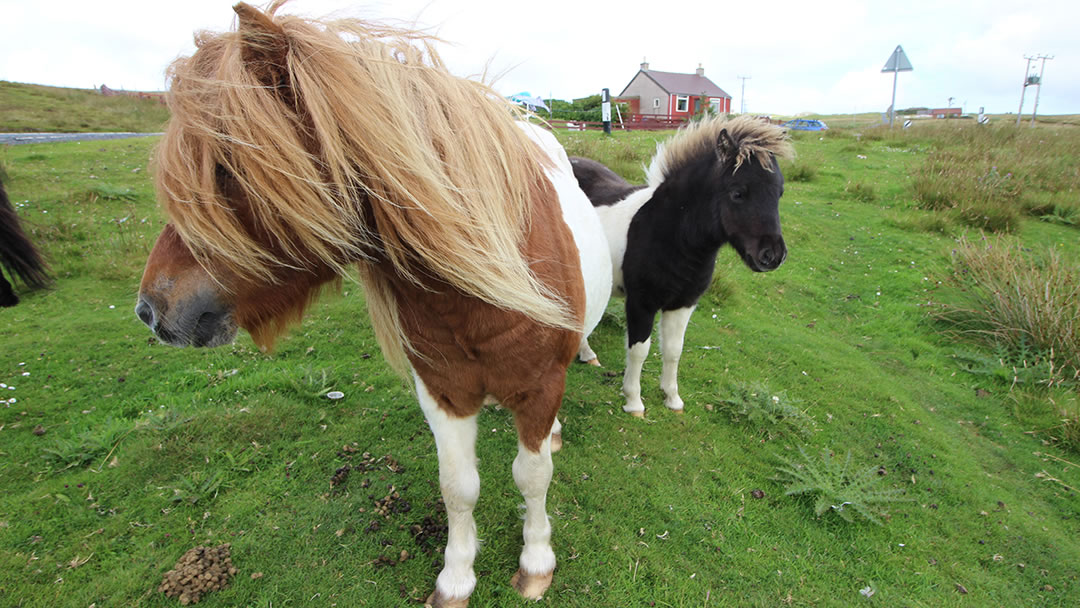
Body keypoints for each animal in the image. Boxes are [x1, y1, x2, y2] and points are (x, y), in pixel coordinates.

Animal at [133, 3, 609, 604]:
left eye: (223, 165)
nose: (151, 309)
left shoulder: (539, 386)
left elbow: (532, 477)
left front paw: (536, 561)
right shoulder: (444, 391)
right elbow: (458, 487)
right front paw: (456, 577)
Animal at [574, 114, 794, 416]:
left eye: (779, 193)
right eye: (738, 193)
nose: (772, 255)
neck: (669, 234)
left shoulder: (684, 303)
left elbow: (673, 350)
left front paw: (672, 398)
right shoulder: (641, 302)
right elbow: (639, 350)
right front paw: (634, 402)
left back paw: (587, 354)